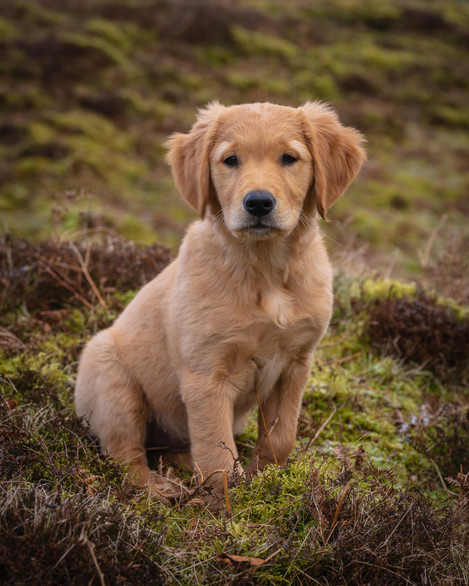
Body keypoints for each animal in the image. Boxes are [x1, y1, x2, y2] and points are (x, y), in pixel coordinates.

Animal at [74, 101, 366, 498]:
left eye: (289, 158)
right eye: (230, 160)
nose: (258, 202)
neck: (265, 269)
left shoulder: (296, 364)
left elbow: (281, 436)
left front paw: (266, 480)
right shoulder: (206, 375)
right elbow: (216, 451)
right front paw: (226, 501)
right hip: (113, 383)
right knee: (125, 454)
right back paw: (160, 489)